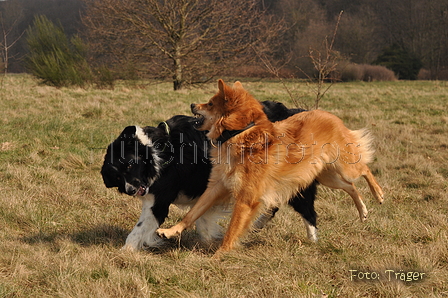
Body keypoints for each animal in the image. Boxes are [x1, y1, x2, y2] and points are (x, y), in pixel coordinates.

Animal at [101, 101, 318, 250]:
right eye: (117, 177)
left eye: (130, 164)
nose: (132, 190)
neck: (159, 151)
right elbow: (201, 219)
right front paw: (209, 242)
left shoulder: (161, 197)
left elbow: (138, 229)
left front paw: (124, 252)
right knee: (275, 204)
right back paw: (258, 225)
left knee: (307, 211)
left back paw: (312, 240)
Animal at [158, 79, 384, 256]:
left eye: (210, 103)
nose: (192, 104)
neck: (240, 133)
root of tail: (329, 115)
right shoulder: (217, 186)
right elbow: (193, 212)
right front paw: (170, 231)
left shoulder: (246, 198)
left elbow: (232, 230)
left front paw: (219, 255)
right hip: (327, 175)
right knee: (350, 187)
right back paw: (363, 211)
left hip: (344, 167)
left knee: (364, 169)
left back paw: (379, 194)